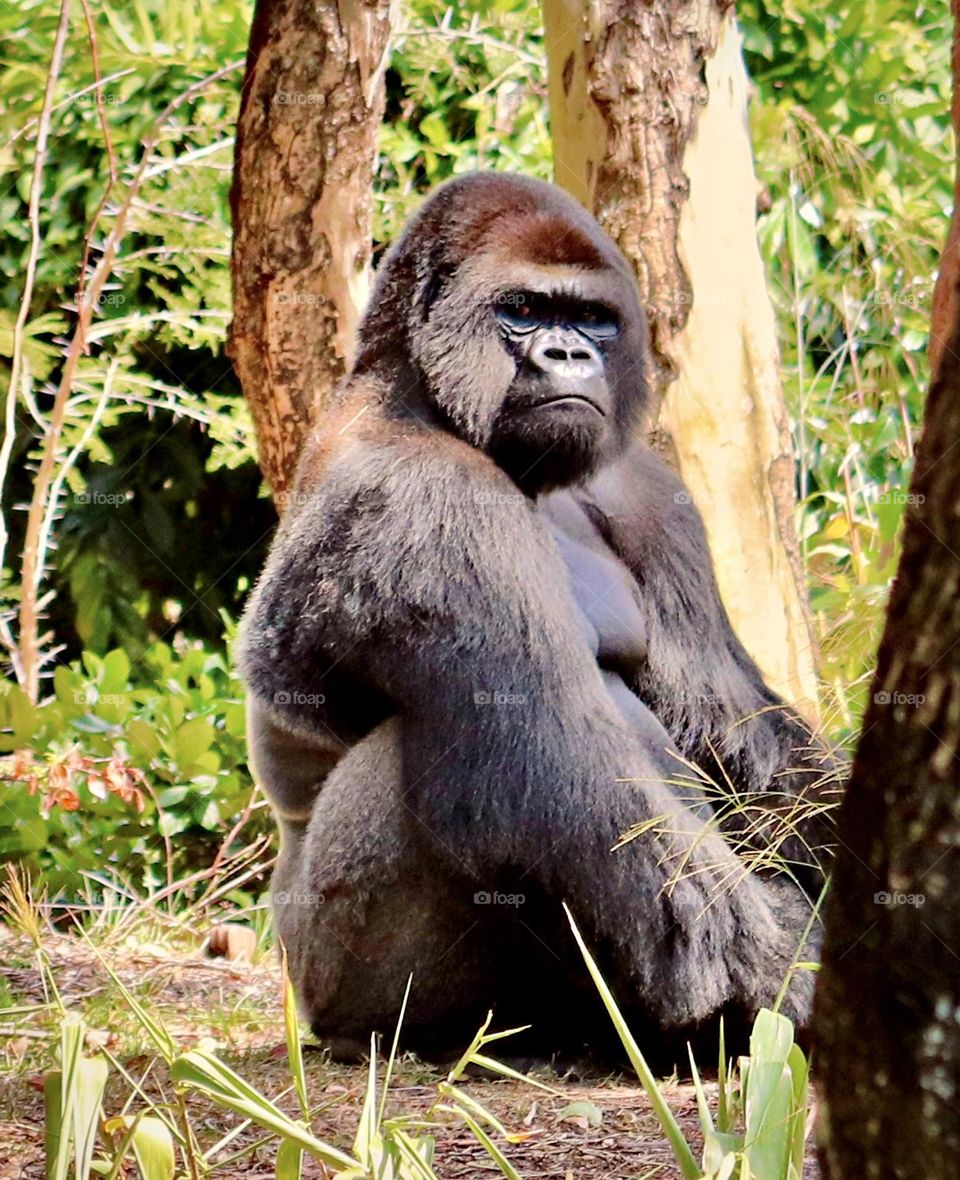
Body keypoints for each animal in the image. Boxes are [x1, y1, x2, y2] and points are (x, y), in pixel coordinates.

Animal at [239, 172, 835, 1062]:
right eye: (522, 310)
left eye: (592, 319)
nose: (570, 356)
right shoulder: (422, 498)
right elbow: (558, 780)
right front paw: (781, 977)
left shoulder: (648, 492)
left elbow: (728, 724)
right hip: (327, 975)